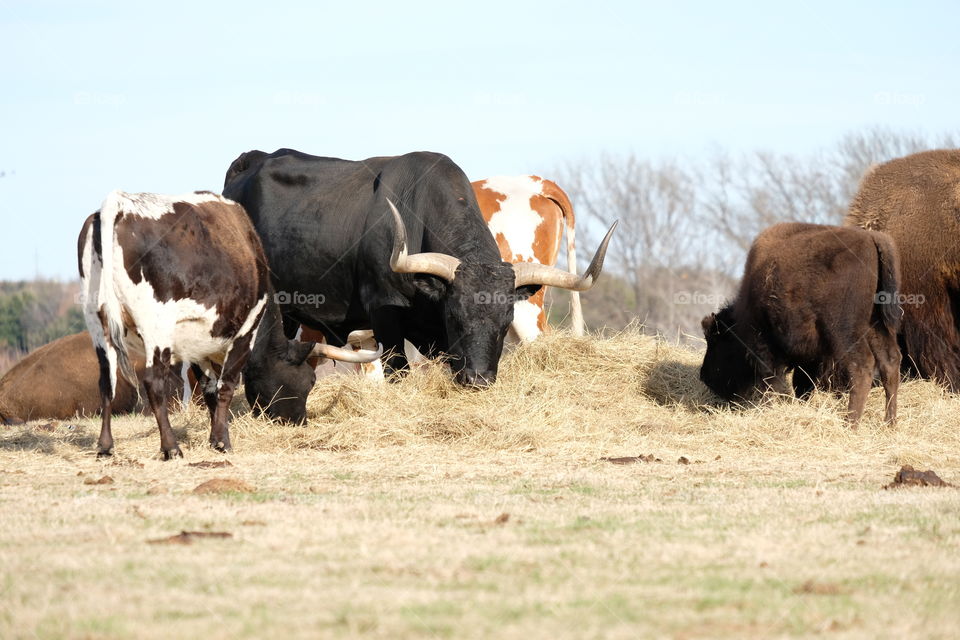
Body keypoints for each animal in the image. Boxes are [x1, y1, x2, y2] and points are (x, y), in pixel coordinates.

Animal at [79, 190, 378, 460]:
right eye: (310, 380)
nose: (299, 423)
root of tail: (118, 206)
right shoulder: (244, 333)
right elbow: (226, 385)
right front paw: (222, 442)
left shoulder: (198, 343)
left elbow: (209, 389)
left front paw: (214, 437)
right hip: (157, 327)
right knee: (154, 383)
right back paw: (171, 447)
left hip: (98, 326)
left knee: (106, 382)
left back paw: (105, 446)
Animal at [696, 221, 900, 424]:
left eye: (716, 342)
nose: (704, 376)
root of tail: (872, 238)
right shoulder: (810, 356)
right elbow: (802, 385)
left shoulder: (766, 347)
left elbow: (771, 381)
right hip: (876, 326)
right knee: (890, 362)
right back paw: (889, 423)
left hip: (844, 331)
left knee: (861, 367)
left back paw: (850, 423)